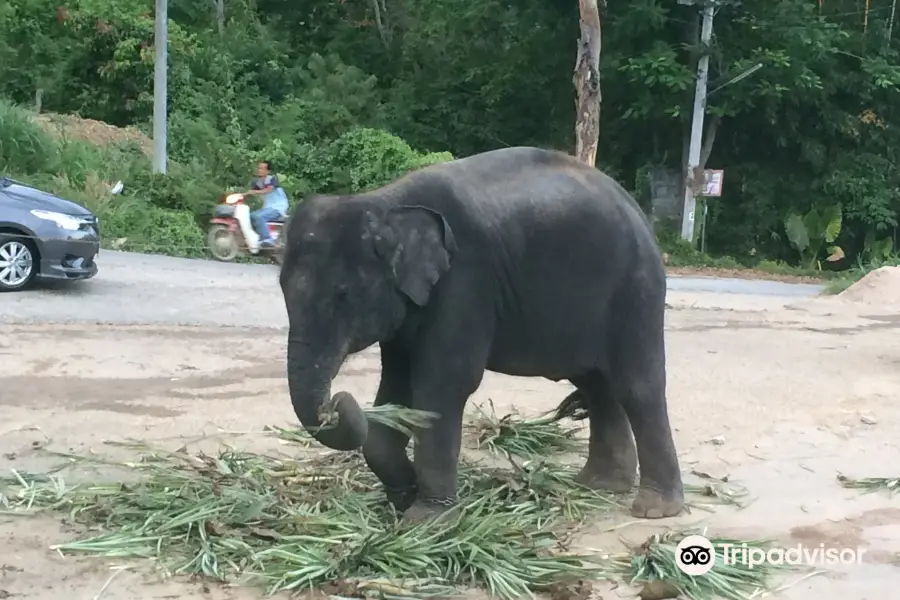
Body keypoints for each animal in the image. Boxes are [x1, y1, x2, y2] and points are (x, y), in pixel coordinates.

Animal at [278, 144, 684, 520]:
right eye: (282, 288)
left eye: (343, 295)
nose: (335, 402)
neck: (386, 202)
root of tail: (635, 208)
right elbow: (396, 386)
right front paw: (403, 500)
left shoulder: (465, 282)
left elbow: (443, 384)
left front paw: (426, 521)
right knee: (596, 384)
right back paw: (599, 485)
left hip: (636, 289)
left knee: (636, 386)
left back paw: (654, 509)